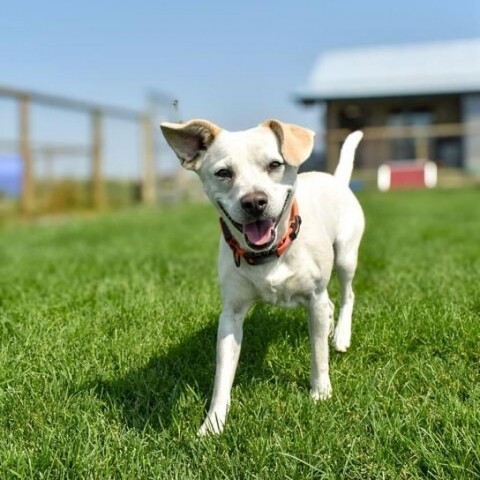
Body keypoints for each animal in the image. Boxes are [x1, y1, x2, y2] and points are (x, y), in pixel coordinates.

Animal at [159, 118, 362, 434]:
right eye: (223, 173)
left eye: (275, 164)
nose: (254, 201)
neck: (270, 254)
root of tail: (337, 180)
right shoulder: (231, 314)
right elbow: (223, 372)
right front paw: (213, 422)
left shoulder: (314, 297)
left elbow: (318, 353)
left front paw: (320, 392)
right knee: (330, 304)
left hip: (345, 255)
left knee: (346, 295)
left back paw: (340, 335)